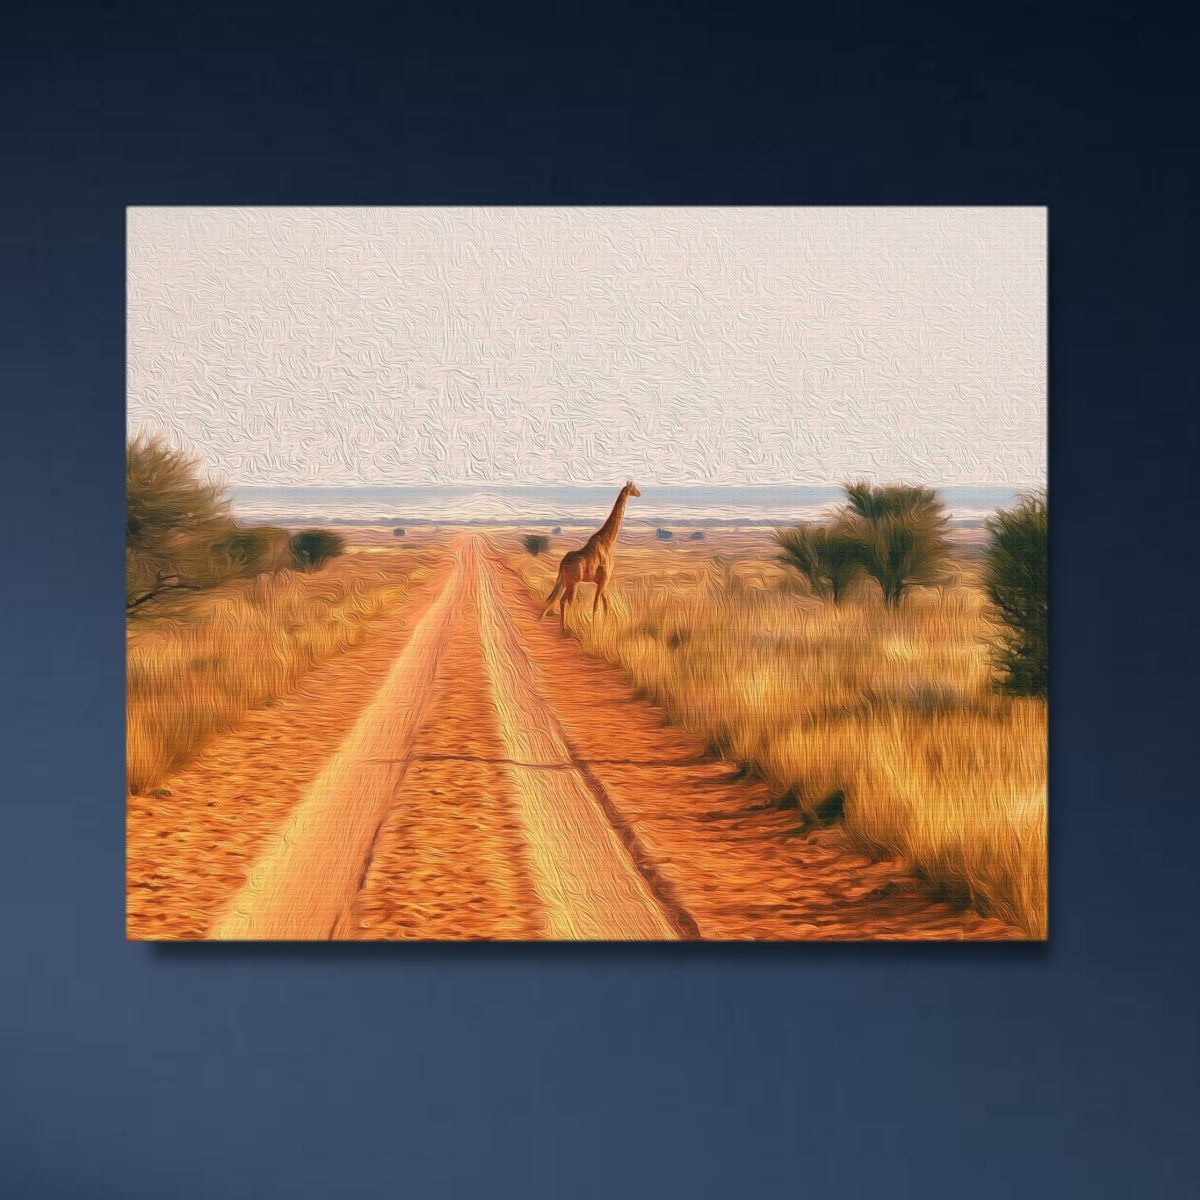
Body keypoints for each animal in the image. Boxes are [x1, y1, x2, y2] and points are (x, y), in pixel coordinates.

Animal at [540, 481, 641, 632]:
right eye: (634, 488)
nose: (640, 493)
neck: (608, 542)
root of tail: (561, 565)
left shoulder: (603, 581)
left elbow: (606, 605)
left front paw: (604, 627)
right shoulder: (604, 579)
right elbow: (596, 606)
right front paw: (595, 629)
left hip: (565, 582)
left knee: (558, 599)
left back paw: (560, 626)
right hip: (573, 583)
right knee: (567, 601)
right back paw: (569, 628)